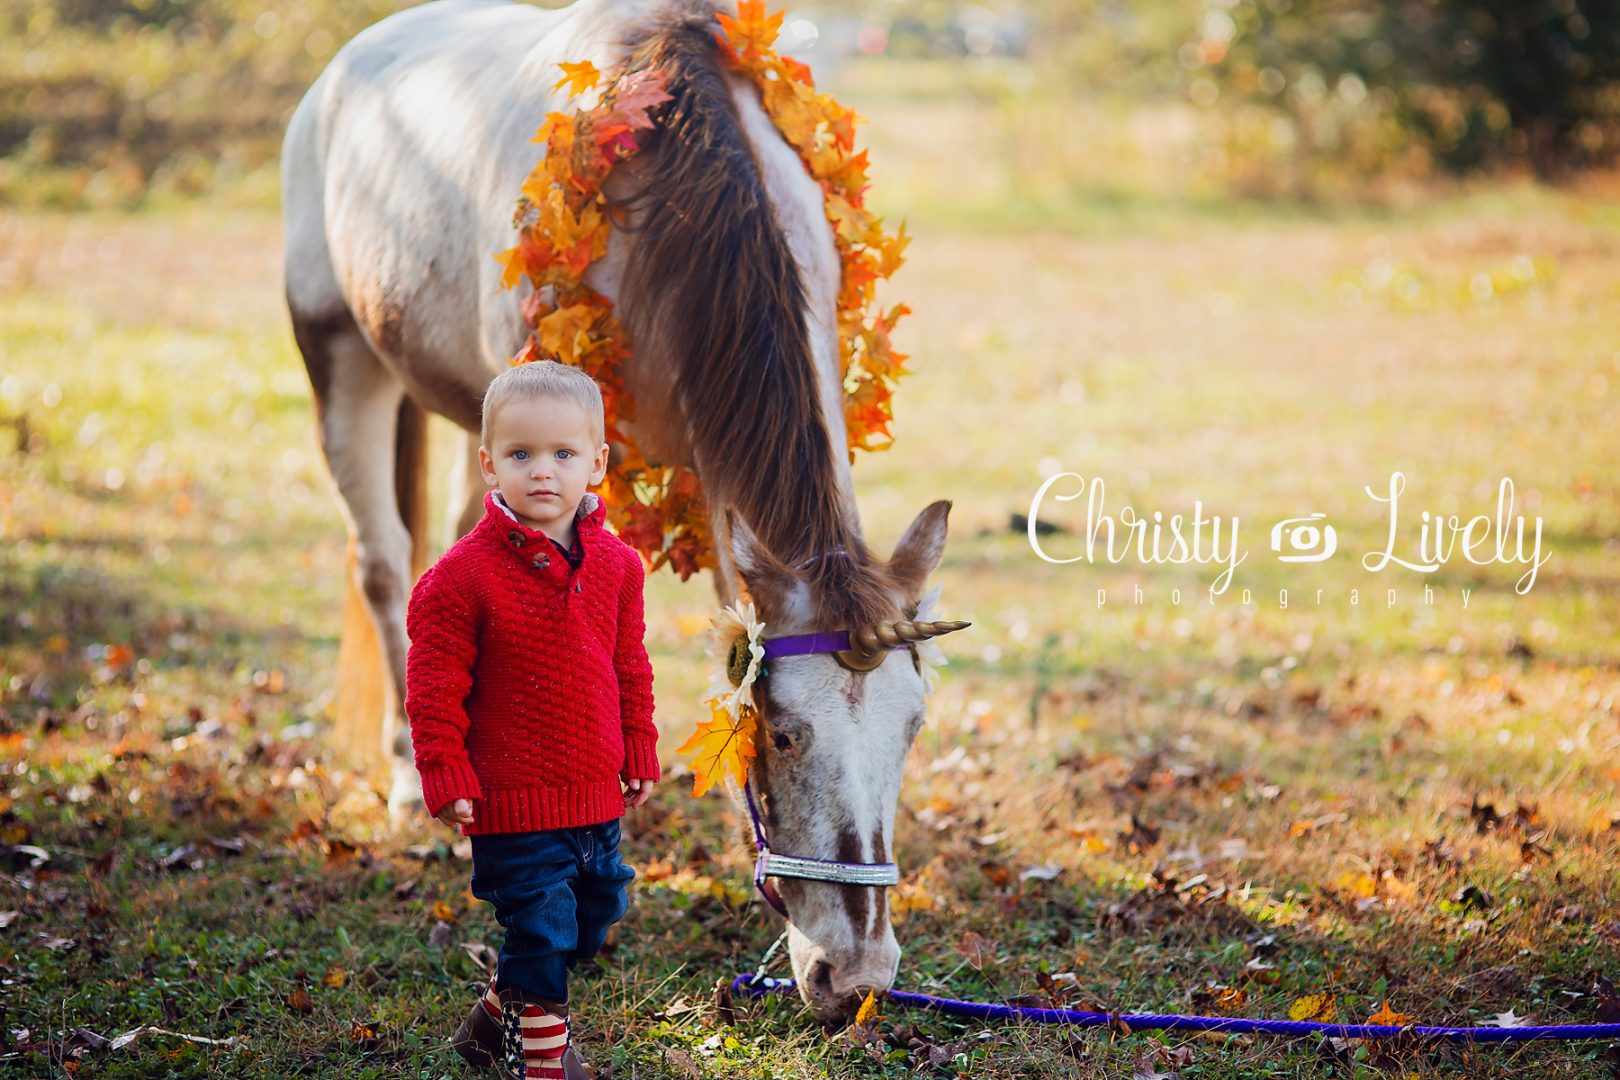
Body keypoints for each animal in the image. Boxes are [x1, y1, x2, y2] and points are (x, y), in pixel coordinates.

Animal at [283, 0, 952, 1016]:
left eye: (912, 728)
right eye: (786, 733)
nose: (858, 977)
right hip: (342, 359)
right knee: (385, 565)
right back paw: (408, 775)